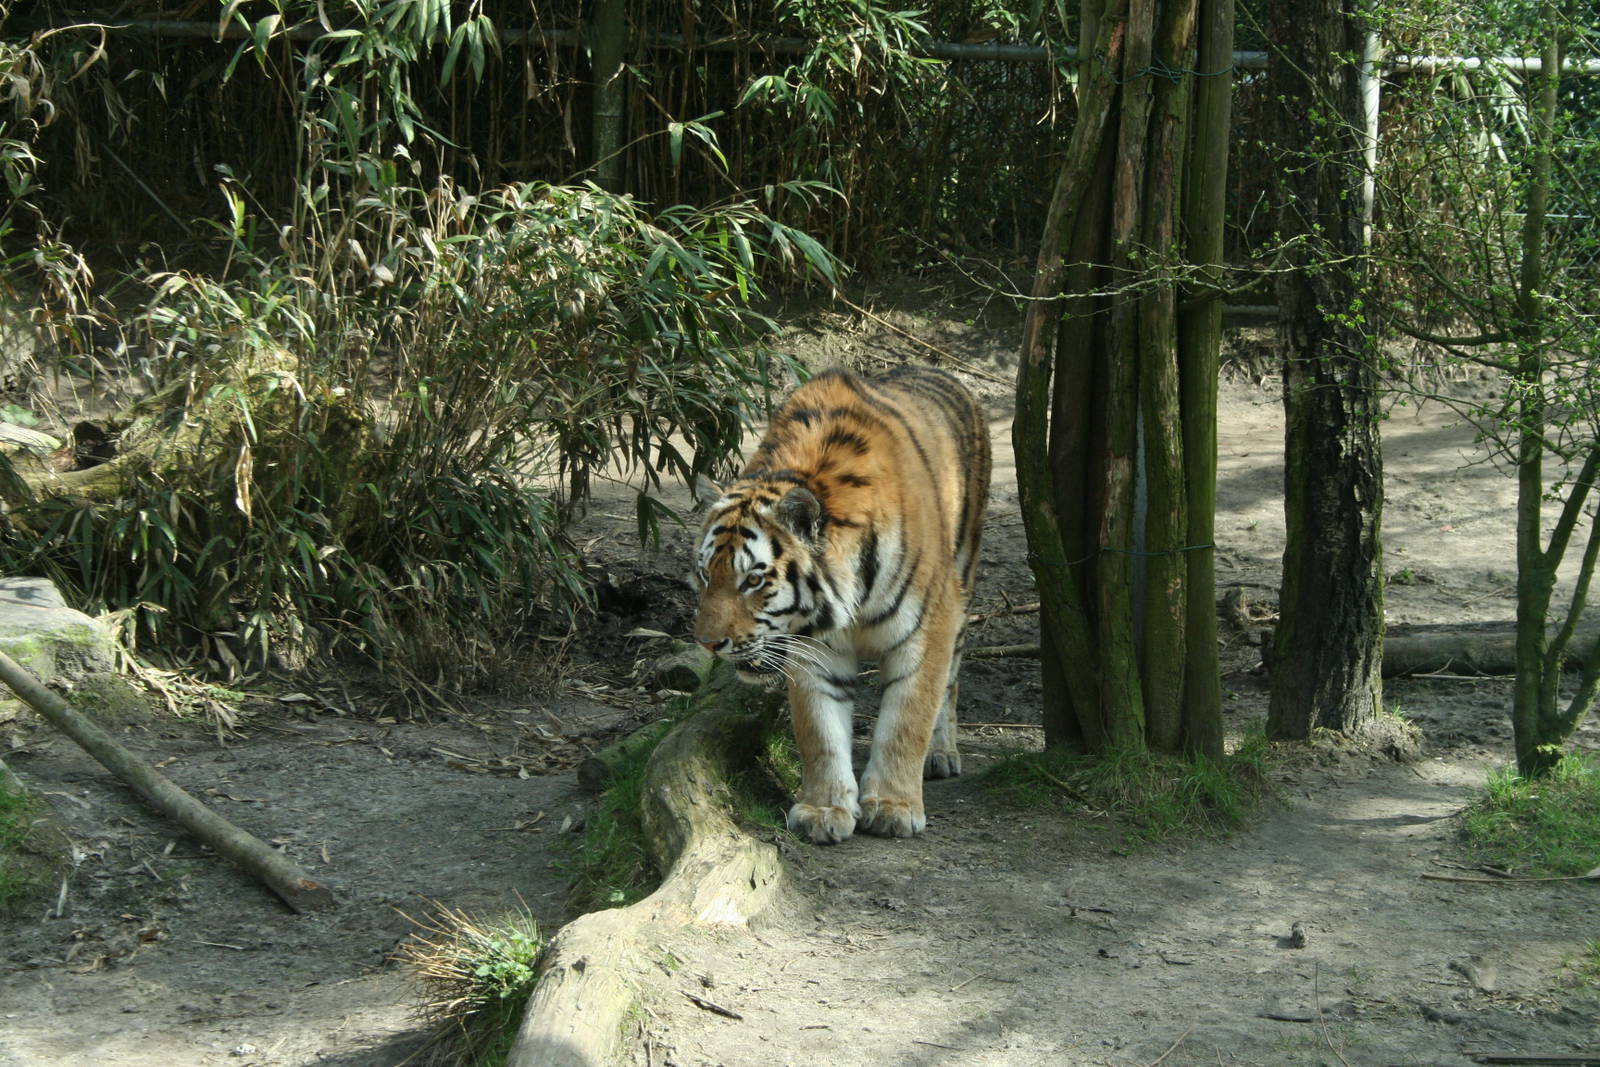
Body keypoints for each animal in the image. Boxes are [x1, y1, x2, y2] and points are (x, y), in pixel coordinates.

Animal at [690, 365, 991, 844]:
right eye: (705, 575)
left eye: (753, 579)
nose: (707, 644)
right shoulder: (814, 646)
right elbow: (820, 731)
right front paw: (824, 809)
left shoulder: (928, 627)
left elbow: (906, 720)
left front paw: (893, 807)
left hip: (962, 580)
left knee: (952, 680)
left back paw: (942, 753)